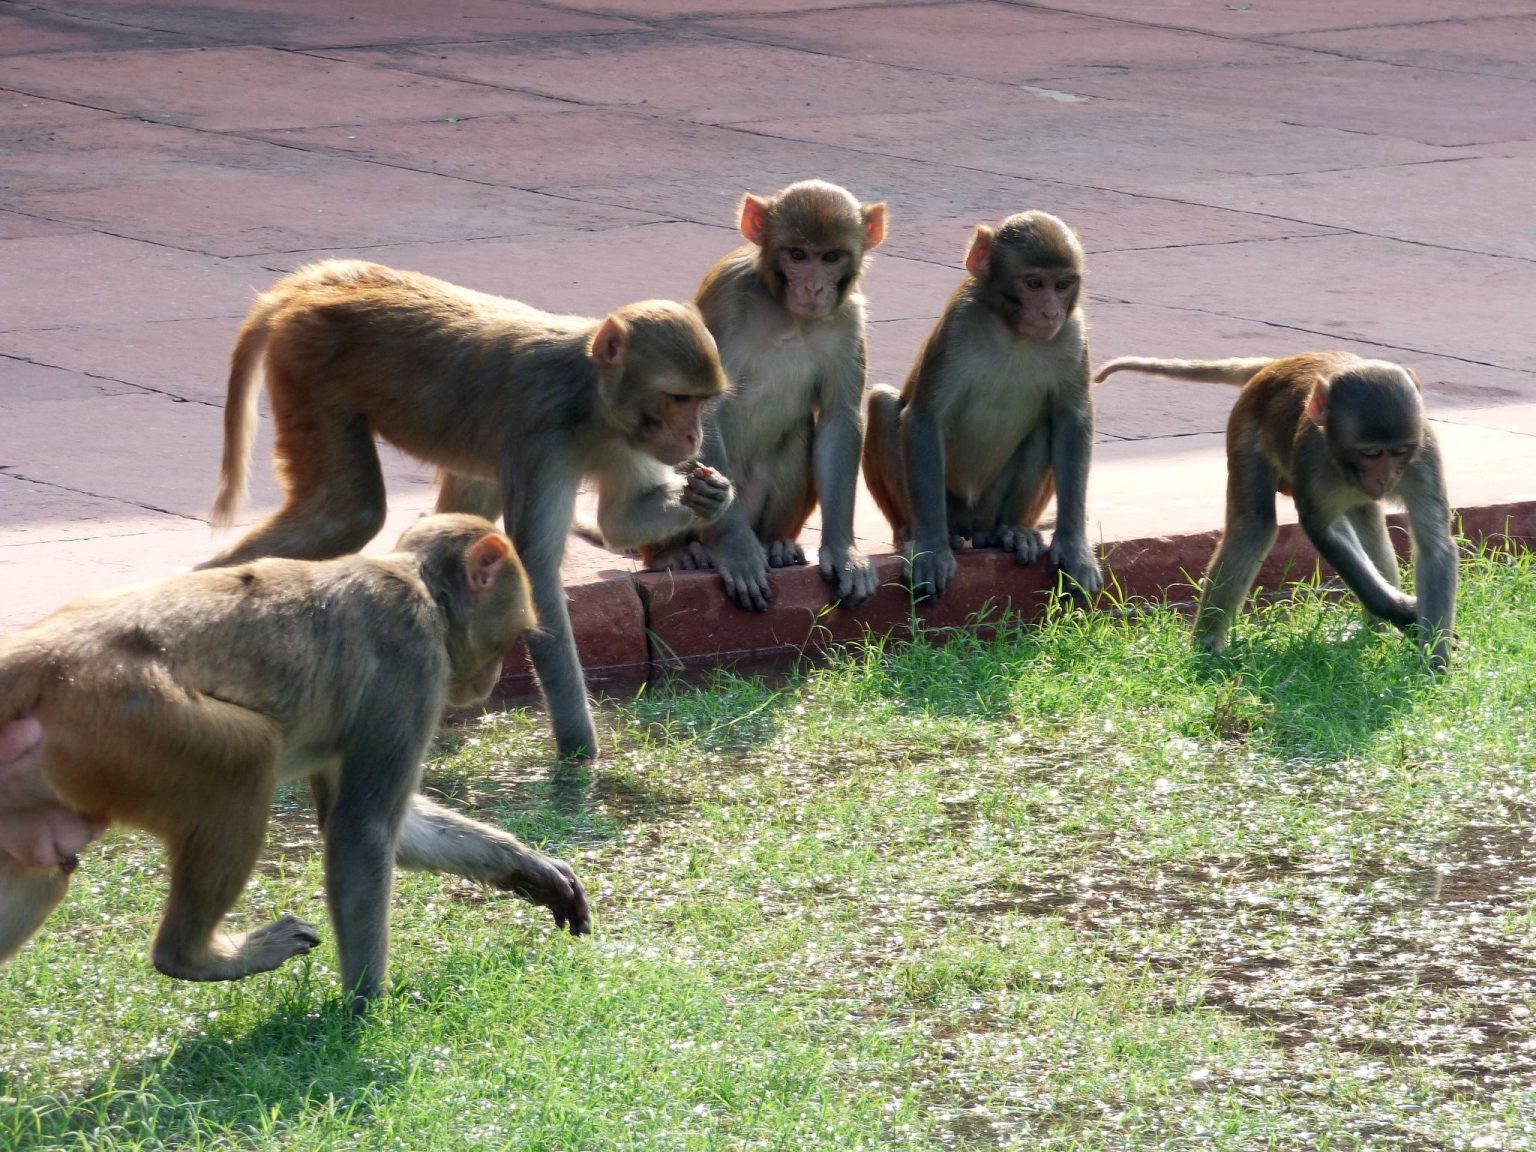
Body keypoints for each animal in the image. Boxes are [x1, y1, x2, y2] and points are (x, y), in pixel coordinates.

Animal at [0, 513, 592, 1007]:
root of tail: (48, 649)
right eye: (512, 638)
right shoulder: (413, 661)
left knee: (44, 870)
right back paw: (191, 956)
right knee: (245, 758)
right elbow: (361, 830)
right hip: (125, 717)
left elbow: (380, 827)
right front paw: (365, 1006)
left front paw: (529, 867)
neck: (418, 583)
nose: (491, 680)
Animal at [201, 264, 734, 768]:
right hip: (307, 361)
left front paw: (709, 496)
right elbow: (538, 573)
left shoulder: (624, 438)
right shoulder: (541, 434)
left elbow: (621, 519)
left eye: (702, 401)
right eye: (679, 398)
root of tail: (316, 284)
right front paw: (582, 756)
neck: (590, 397)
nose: (692, 438)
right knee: (349, 513)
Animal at [638, 180, 890, 614]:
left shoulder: (849, 319)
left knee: (799, 436)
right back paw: (675, 555)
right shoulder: (726, 296)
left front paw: (843, 552)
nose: (813, 287)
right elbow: (702, 412)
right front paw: (737, 549)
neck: (787, 312)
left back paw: (777, 545)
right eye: (797, 254)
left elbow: (838, 419)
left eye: (831, 256)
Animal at [866, 211, 1105, 605]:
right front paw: (930, 549)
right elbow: (923, 418)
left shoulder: (1073, 333)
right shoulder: (959, 324)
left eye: (1063, 284)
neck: (1013, 334)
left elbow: (1071, 421)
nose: (1050, 311)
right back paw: (913, 534)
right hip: (947, 506)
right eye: (1034, 283)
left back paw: (1011, 532)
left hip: (991, 506)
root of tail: (970, 525)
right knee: (882, 405)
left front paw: (1074, 549)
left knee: (1046, 426)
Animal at [1087, 356, 1456, 672]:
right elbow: (1324, 531)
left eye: (1400, 452)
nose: (1385, 478)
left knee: (1369, 525)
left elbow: (1435, 546)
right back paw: (1207, 645)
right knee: (1254, 524)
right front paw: (1403, 613)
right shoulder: (1312, 461)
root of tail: (1279, 363)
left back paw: (1379, 630)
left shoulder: (1424, 454)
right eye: (1371, 453)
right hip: (1246, 426)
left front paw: (1434, 658)